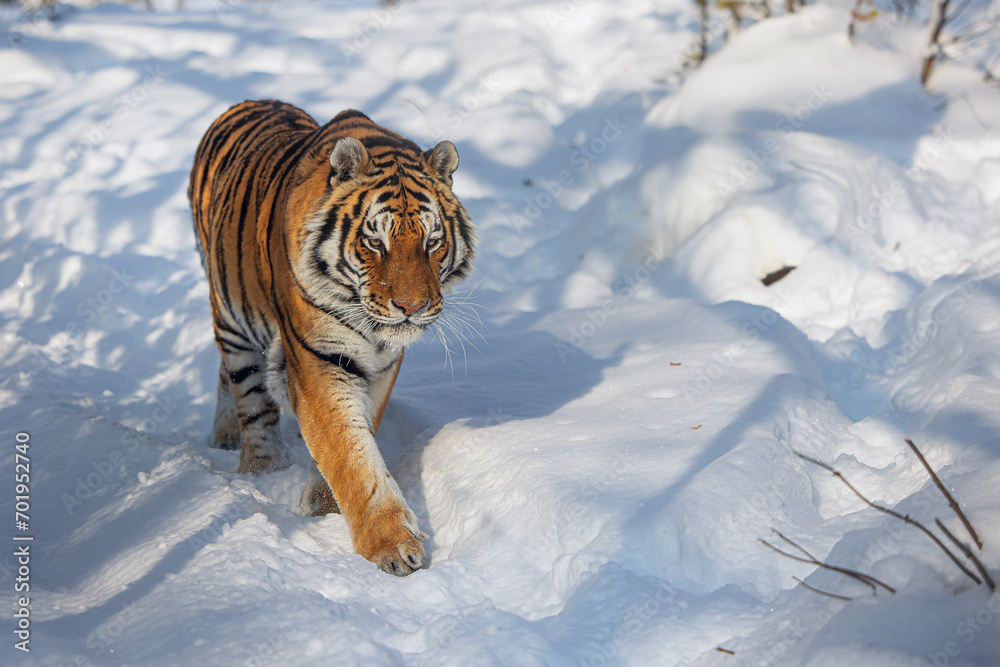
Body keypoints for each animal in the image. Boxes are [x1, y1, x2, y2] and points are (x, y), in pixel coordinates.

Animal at [188, 100, 475, 576]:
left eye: (432, 241)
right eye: (375, 242)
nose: (412, 307)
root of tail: (244, 103)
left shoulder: (381, 365)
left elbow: (354, 443)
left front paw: (323, 513)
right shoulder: (318, 360)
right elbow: (350, 455)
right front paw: (393, 548)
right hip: (231, 322)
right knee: (250, 402)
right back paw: (259, 471)